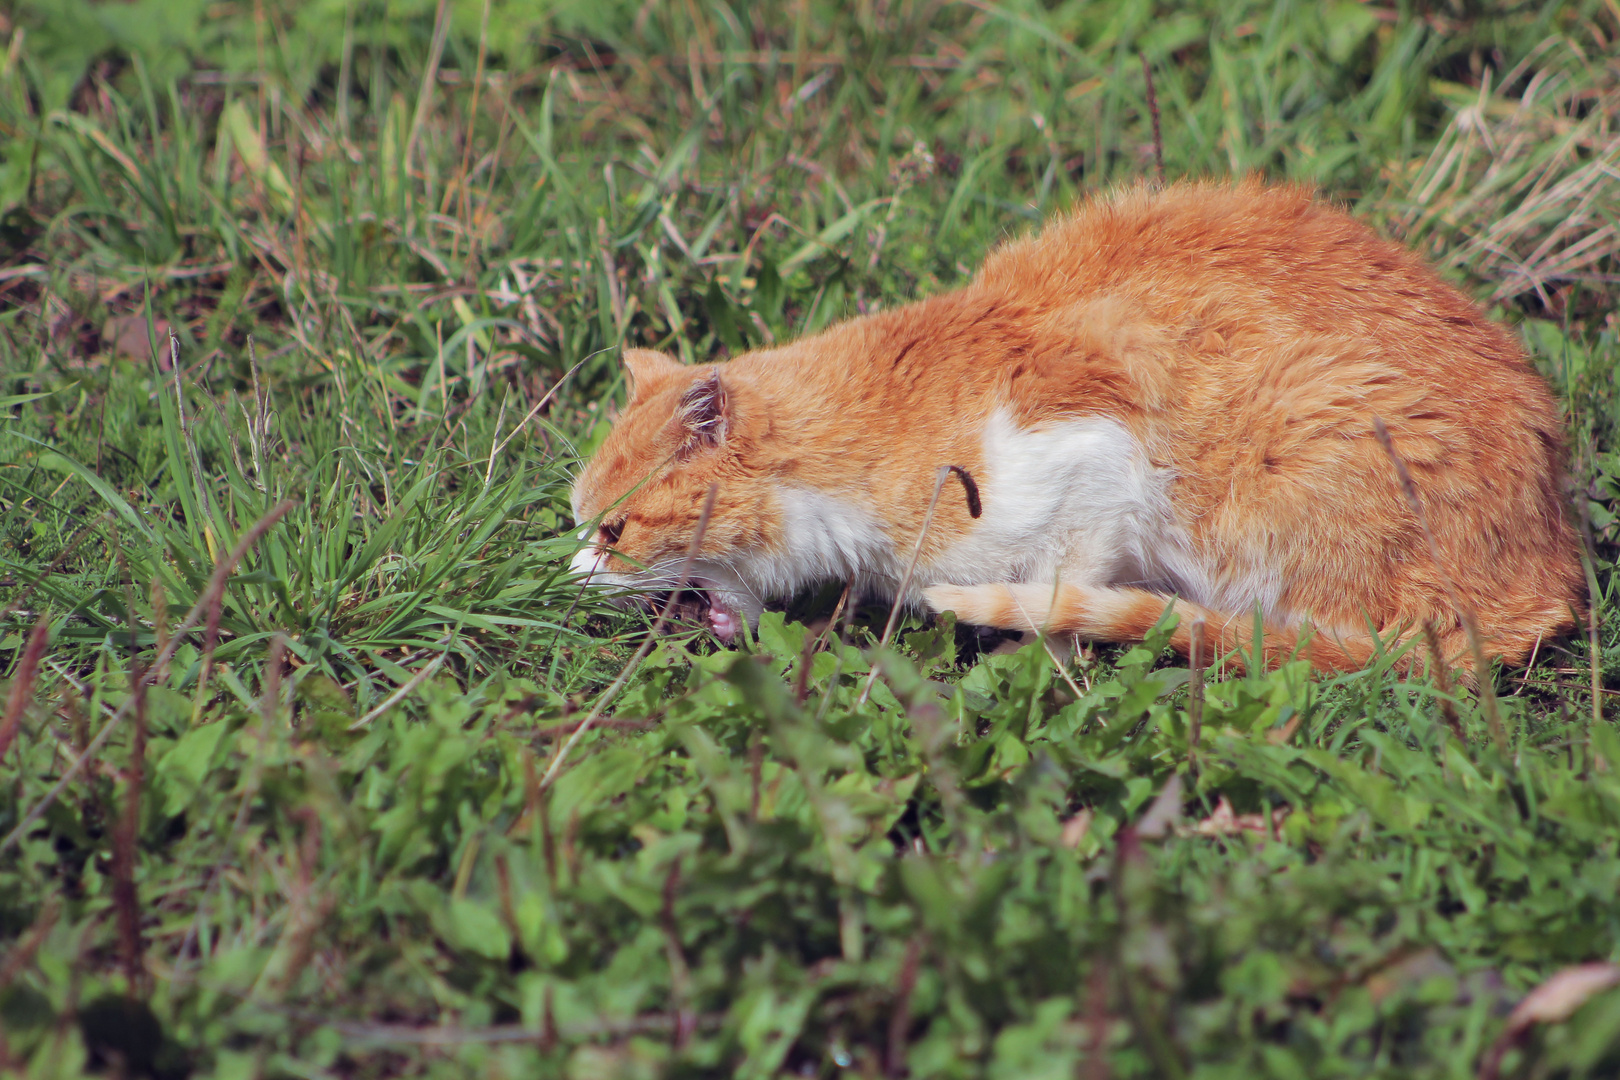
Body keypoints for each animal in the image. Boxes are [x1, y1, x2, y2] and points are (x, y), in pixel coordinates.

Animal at [573, 181, 1581, 670]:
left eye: (613, 531)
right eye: (581, 526)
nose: (568, 576)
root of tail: (1552, 575)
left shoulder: (1095, 467)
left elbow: (1062, 592)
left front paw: (1037, 663)